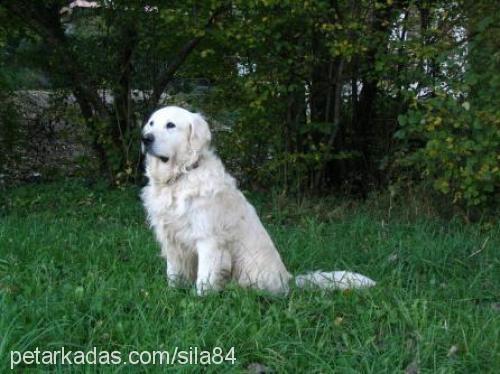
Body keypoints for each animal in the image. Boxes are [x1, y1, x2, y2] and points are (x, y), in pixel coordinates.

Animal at [141, 105, 376, 296]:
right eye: (151, 123)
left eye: (170, 125)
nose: (145, 138)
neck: (180, 176)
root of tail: (289, 279)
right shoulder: (171, 238)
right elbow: (173, 272)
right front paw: (172, 293)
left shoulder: (208, 239)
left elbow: (205, 279)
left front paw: (199, 302)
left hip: (249, 266)